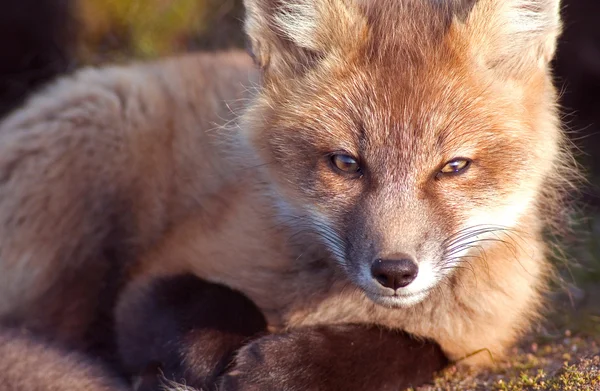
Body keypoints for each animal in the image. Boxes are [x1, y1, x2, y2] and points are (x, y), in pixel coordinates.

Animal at [0, 0, 576, 388]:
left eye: (454, 167)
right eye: (346, 163)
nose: (394, 271)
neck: (329, 303)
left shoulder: (477, 340)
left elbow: (403, 348)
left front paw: (275, 368)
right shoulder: (155, 274)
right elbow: (204, 303)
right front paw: (213, 363)